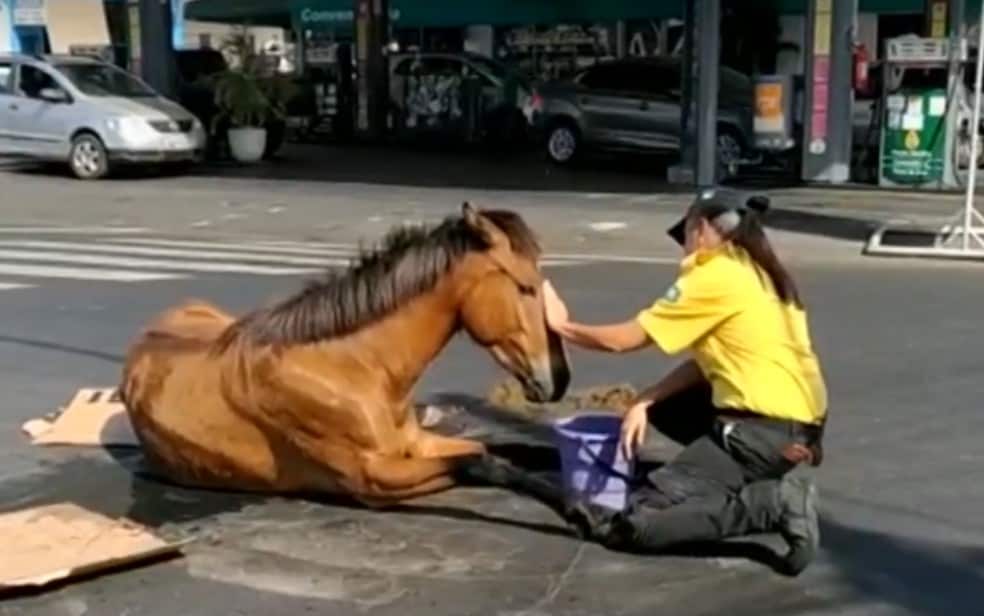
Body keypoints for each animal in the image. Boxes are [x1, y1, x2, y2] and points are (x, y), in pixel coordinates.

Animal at [120, 202, 572, 506]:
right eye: (526, 287)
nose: (559, 378)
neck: (351, 368)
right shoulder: (373, 478)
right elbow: (485, 464)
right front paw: (588, 518)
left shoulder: (417, 445)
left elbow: (509, 450)